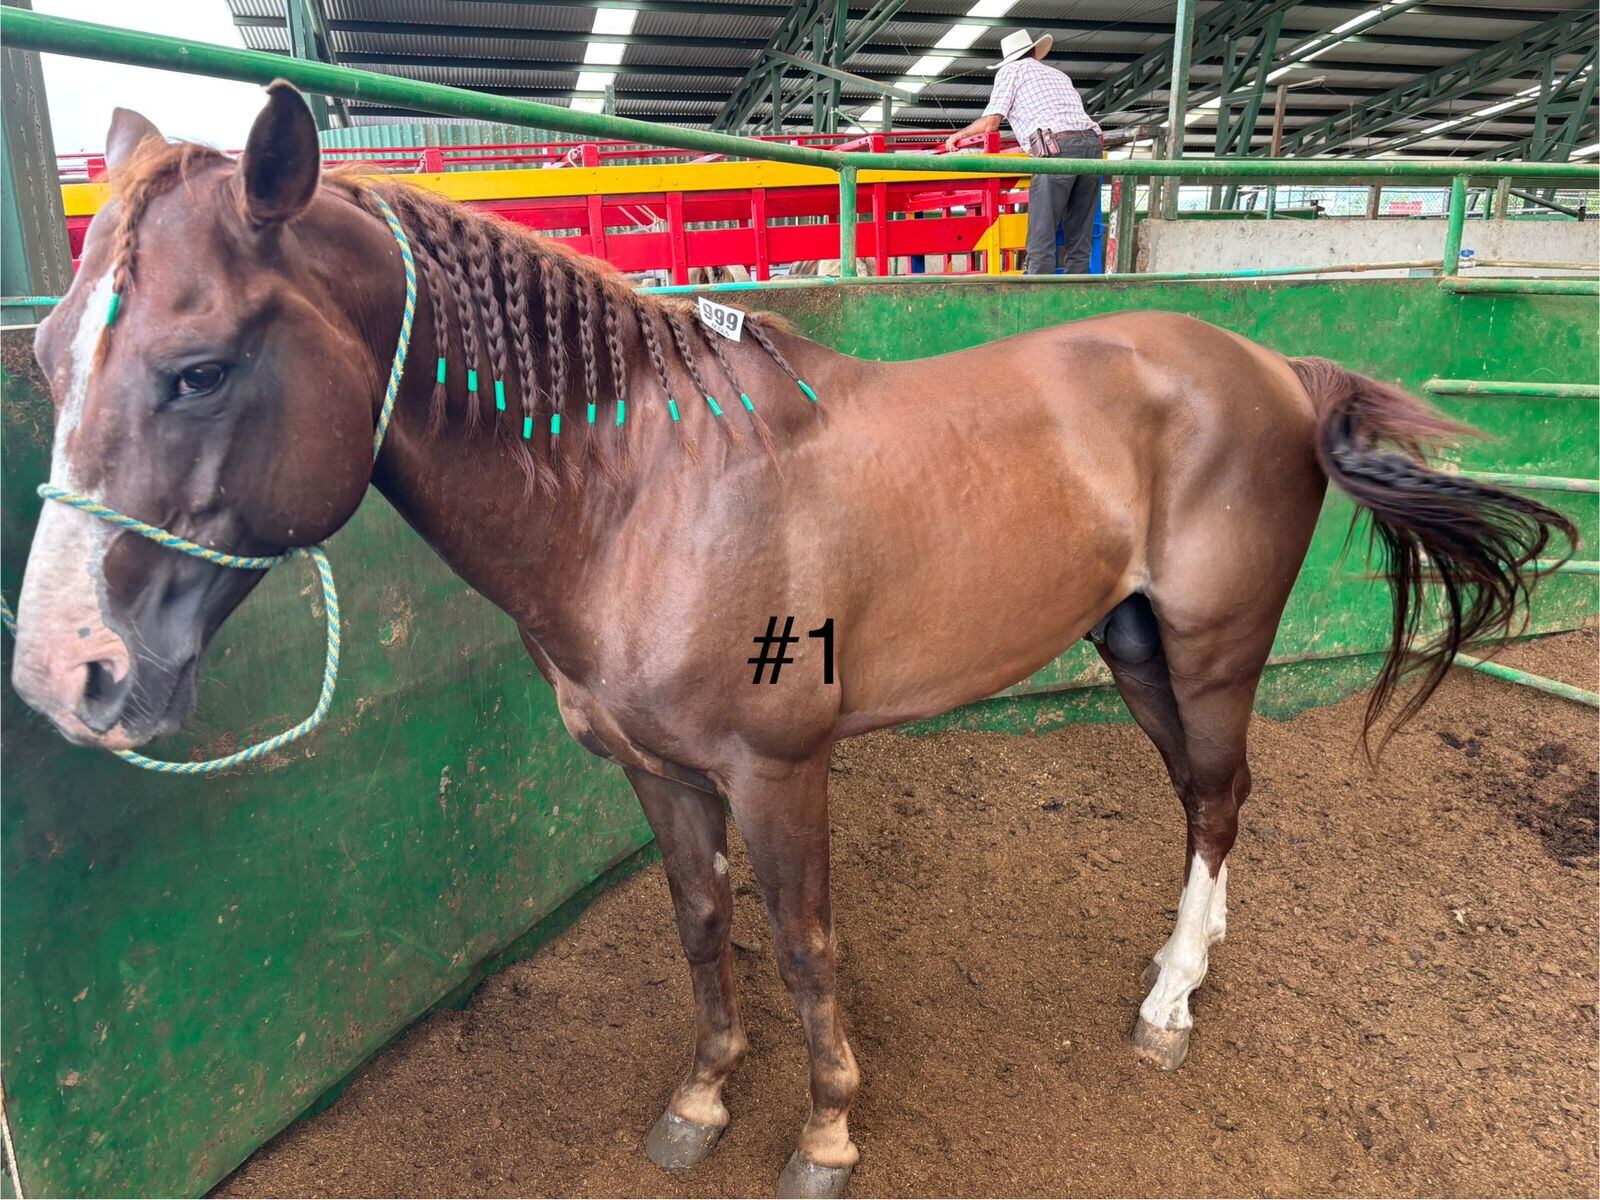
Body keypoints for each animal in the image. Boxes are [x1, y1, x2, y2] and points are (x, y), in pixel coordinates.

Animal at [11, 84, 1575, 1198]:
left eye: (197, 368)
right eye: (46, 359)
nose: (68, 676)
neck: (643, 493)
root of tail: (1271, 365)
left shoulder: (781, 771)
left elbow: (806, 942)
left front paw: (824, 1135)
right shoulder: (656, 772)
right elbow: (704, 928)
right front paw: (702, 1099)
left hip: (1206, 648)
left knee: (1216, 794)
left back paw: (1171, 1000)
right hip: (1129, 645)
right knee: (1210, 802)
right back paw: (1195, 954)